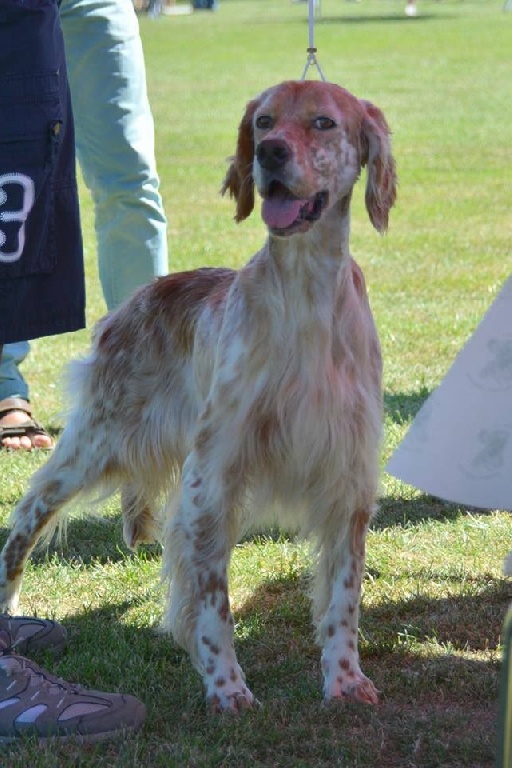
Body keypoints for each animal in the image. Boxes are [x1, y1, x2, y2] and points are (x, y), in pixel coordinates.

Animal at [0, 81, 396, 712]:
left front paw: (344, 679)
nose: (271, 154)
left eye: (323, 123)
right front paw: (226, 687)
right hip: (94, 444)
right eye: (263, 122)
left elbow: (343, 597)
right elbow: (213, 601)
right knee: (26, 517)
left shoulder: (347, 476)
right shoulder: (213, 479)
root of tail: (134, 302)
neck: (305, 297)